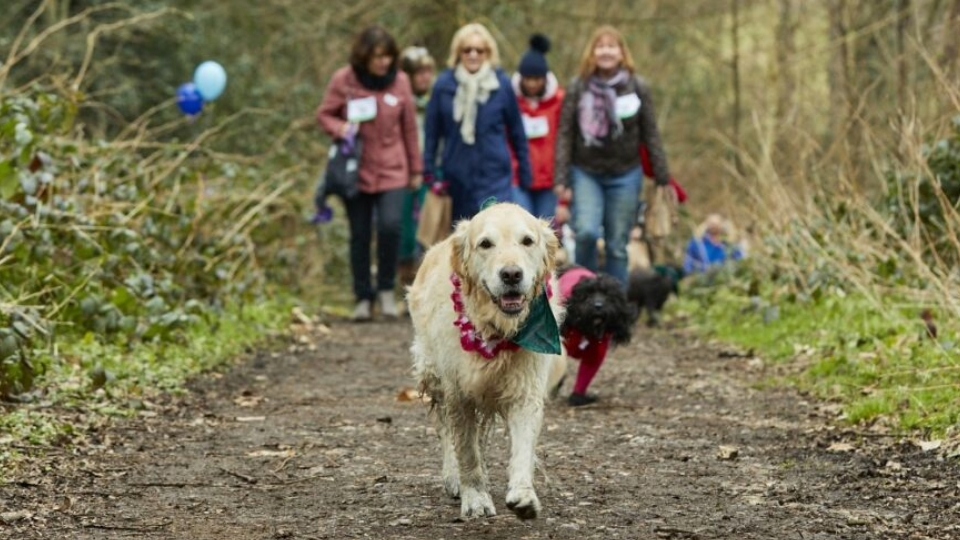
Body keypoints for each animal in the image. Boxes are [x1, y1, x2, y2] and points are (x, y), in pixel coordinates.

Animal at [406, 202, 564, 520]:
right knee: (446, 431)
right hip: (432, 372)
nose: (512, 275)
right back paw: (453, 477)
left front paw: (523, 495)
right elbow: (466, 450)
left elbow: (522, 446)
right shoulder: (457, 391)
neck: (496, 328)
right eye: (485, 244)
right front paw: (476, 498)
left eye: (527, 241)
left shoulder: (526, 389)